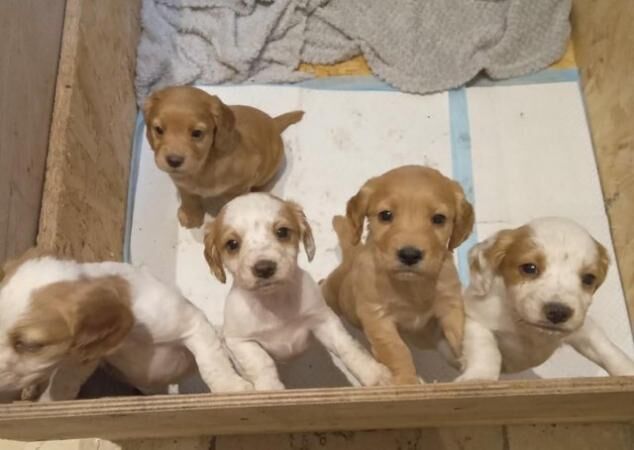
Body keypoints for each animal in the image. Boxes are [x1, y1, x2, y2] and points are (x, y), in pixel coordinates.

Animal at [0, 250, 252, 400]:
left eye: (31, 345)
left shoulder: (193, 324)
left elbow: (212, 363)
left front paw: (231, 388)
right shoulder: (86, 356)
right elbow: (64, 380)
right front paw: (51, 402)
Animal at [143, 85, 304, 229]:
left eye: (197, 133)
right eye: (159, 129)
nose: (174, 161)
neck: (204, 165)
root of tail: (274, 122)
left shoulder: (246, 177)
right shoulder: (182, 182)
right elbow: (188, 197)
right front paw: (190, 216)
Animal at [202, 192, 390, 388]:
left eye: (282, 232)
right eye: (232, 244)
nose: (264, 268)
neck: (274, 302)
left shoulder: (323, 319)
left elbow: (346, 346)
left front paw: (374, 374)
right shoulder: (240, 341)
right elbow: (261, 363)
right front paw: (270, 388)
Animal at [320, 165, 474, 384]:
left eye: (439, 219)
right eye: (385, 215)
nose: (409, 255)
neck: (411, 286)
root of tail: (354, 252)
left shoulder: (450, 302)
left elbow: (460, 332)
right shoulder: (378, 316)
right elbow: (397, 351)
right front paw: (407, 381)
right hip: (334, 294)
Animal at [456, 218, 632, 380]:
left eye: (588, 278)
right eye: (529, 268)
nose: (558, 313)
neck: (526, 327)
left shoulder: (584, 327)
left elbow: (605, 347)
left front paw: (627, 370)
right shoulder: (475, 319)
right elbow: (485, 348)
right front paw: (479, 377)